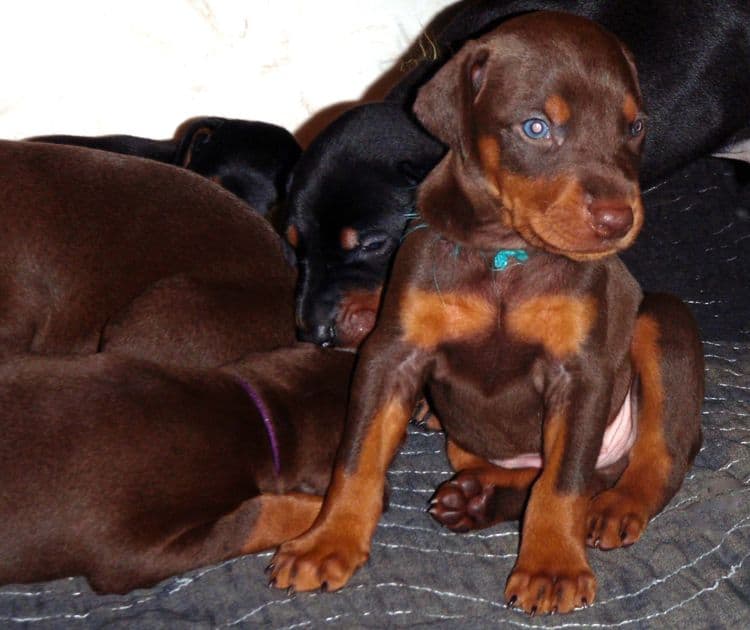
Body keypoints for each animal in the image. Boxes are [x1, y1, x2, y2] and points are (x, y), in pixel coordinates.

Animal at [270, 12, 704, 616]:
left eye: (636, 126)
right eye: (536, 127)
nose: (619, 219)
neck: (504, 255)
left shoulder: (581, 372)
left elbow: (562, 484)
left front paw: (551, 566)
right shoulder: (392, 353)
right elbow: (357, 458)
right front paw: (327, 540)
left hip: (658, 324)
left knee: (647, 462)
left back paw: (618, 505)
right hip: (467, 442)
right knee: (519, 471)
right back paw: (474, 498)